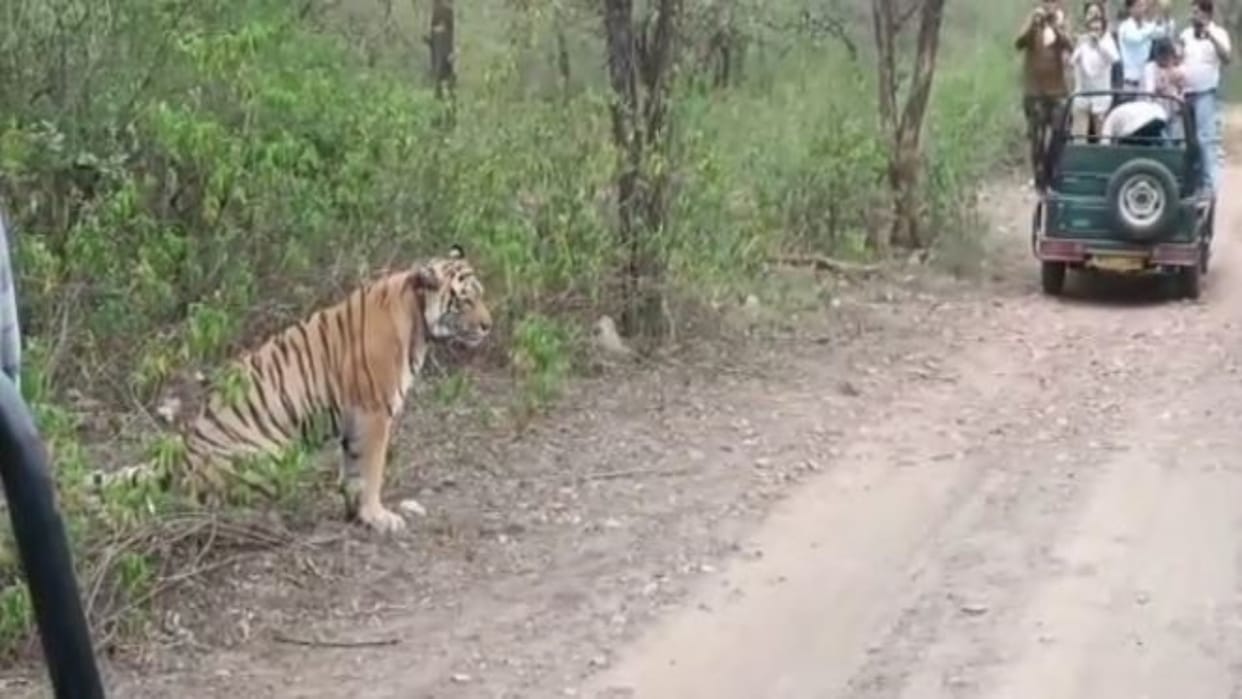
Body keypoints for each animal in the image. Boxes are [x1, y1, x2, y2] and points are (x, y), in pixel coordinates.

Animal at [89, 244, 491, 533]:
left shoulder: (356, 420)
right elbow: (372, 469)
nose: (489, 325)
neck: (418, 320)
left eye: (481, 295)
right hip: (269, 456)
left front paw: (356, 511)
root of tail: (178, 455)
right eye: (465, 299)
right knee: (204, 500)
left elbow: (352, 467)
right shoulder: (374, 412)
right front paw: (377, 516)